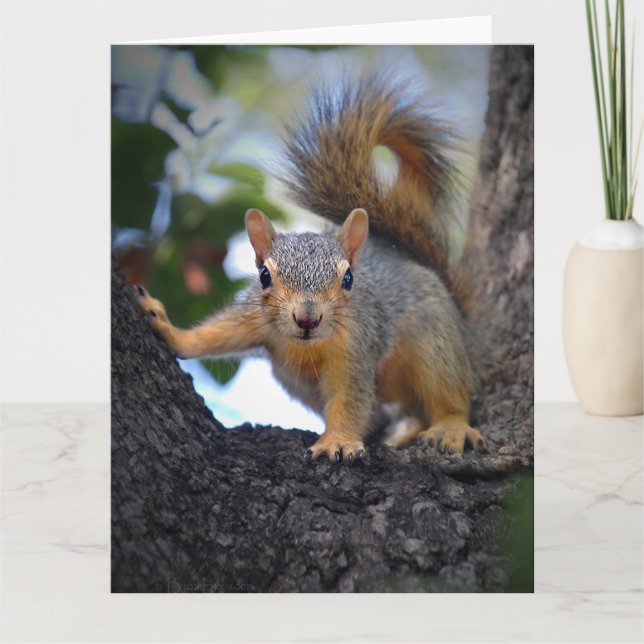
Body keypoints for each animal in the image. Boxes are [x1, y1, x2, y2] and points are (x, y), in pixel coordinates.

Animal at [135, 73, 484, 464]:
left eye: (348, 278)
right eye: (264, 276)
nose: (307, 319)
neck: (307, 347)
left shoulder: (355, 347)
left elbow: (350, 400)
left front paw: (338, 441)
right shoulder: (254, 318)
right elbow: (217, 334)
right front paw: (168, 329)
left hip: (437, 341)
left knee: (446, 393)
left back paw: (450, 427)